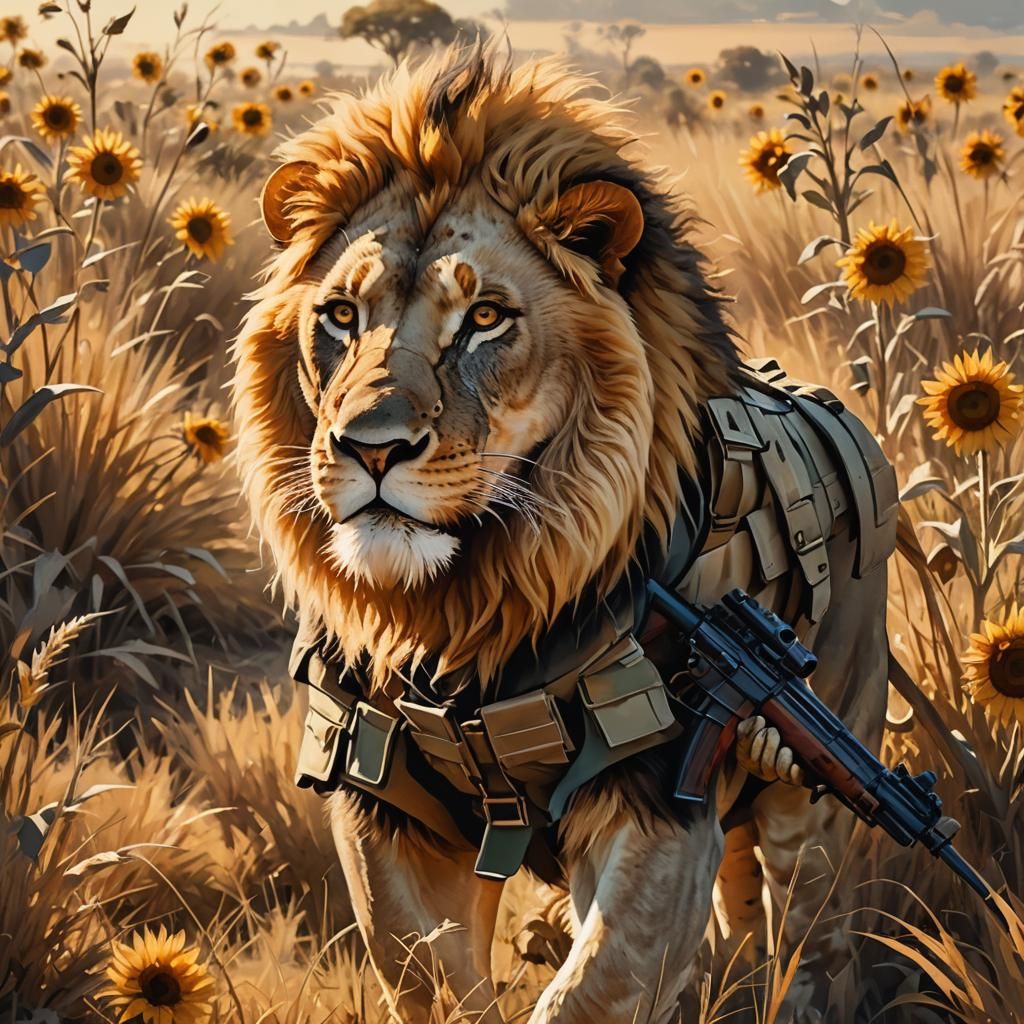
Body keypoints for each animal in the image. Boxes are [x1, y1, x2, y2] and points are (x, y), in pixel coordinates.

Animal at [232, 44, 895, 1023]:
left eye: (485, 318)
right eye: (341, 316)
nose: (371, 447)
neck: (462, 616)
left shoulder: (658, 802)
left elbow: (595, 988)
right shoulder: (382, 809)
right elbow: (435, 982)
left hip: (809, 798)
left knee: (814, 942)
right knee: (745, 933)